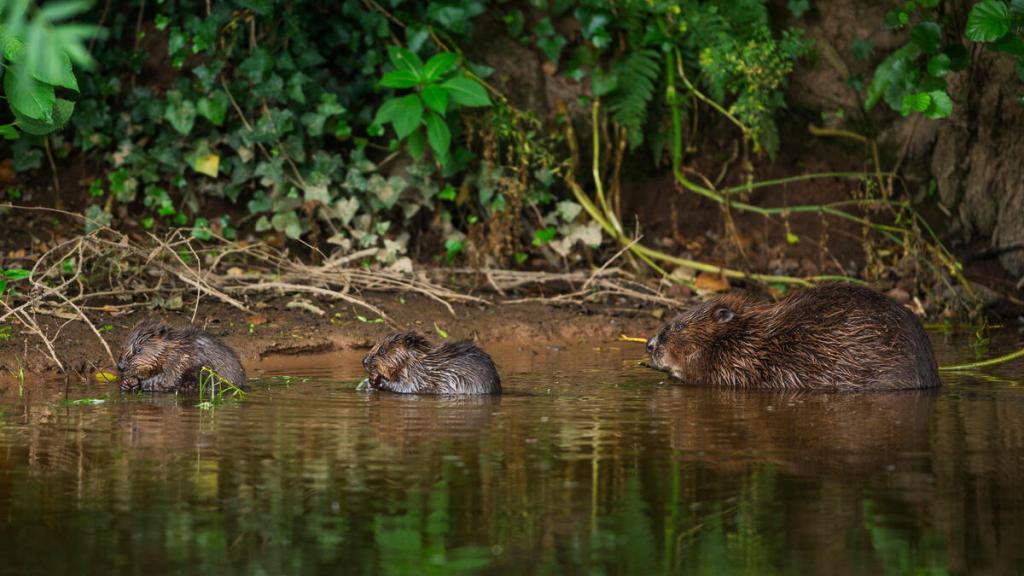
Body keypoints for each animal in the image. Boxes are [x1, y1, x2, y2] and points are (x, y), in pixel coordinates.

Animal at [117, 319, 246, 392]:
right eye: (122, 347)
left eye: (138, 350)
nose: (120, 366)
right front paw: (125, 383)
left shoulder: (178, 359)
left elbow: (168, 379)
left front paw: (134, 381)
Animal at [362, 331, 501, 395]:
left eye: (382, 350)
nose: (364, 361)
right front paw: (370, 381)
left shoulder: (416, 375)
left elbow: (405, 387)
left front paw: (376, 379)